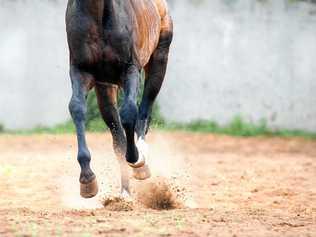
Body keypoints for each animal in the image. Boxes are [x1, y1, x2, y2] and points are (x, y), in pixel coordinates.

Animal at [65, 0, 173, 198]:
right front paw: (87, 180)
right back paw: (125, 193)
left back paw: (141, 162)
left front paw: (137, 160)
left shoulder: (130, 68)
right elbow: (76, 107)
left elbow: (130, 112)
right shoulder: (81, 71)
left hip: (160, 57)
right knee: (118, 138)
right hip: (106, 87)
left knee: (144, 111)